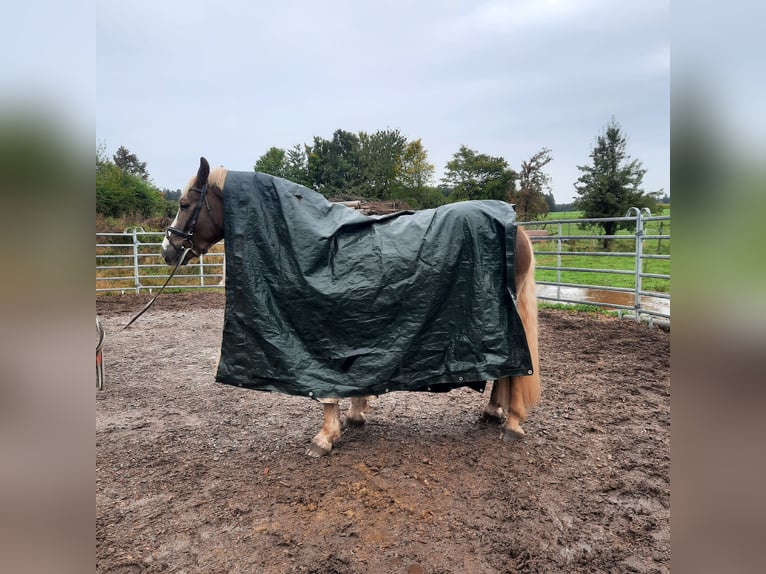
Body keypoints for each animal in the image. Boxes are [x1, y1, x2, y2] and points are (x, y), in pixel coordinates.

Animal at [165, 158, 544, 460]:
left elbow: (326, 388)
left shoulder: (317, 332)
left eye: (184, 203)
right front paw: (355, 414)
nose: (168, 250)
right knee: (508, 367)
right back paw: (494, 412)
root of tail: (515, 228)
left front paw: (325, 436)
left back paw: (511, 424)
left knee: (515, 366)